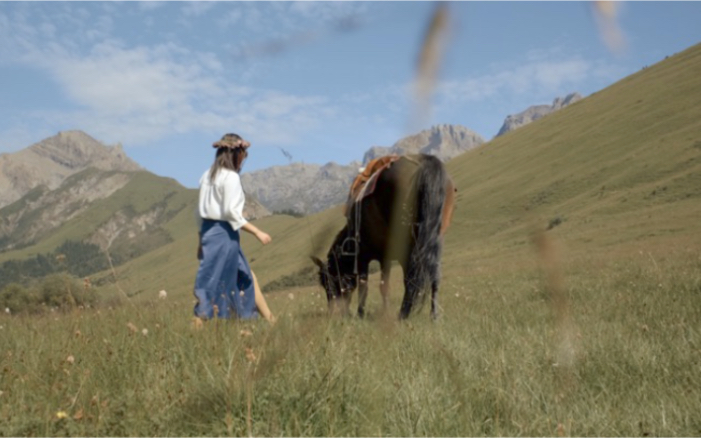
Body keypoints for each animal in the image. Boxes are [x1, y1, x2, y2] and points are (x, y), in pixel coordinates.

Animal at [310, 154, 454, 318]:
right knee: (434, 275)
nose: (334, 313)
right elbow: (384, 287)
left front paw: (361, 314)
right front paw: (384, 313)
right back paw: (433, 315)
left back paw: (404, 314)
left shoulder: (363, 257)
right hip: (435, 241)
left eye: (327, 283)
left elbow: (365, 286)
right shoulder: (386, 257)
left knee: (411, 278)